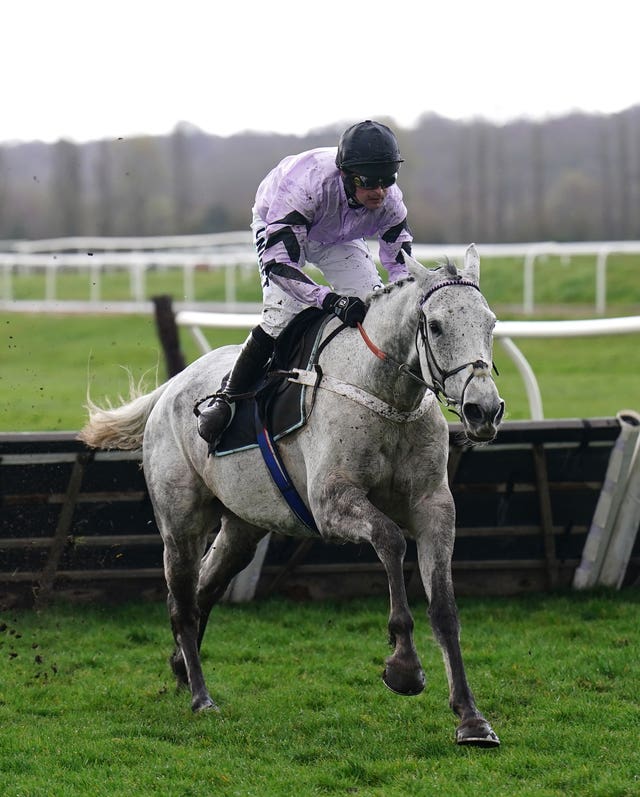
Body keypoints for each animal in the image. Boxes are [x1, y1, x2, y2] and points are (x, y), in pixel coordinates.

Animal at [79, 244, 504, 748]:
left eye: (491, 323)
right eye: (435, 325)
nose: (484, 410)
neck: (385, 395)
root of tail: (171, 387)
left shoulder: (434, 506)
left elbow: (444, 609)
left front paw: (471, 719)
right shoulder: (331, 504)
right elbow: (390, 540)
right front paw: (403, 666)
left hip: (241, 527)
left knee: (203, 592)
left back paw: (181, 667)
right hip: (180, 523)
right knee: (182, 604)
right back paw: (201, 697)